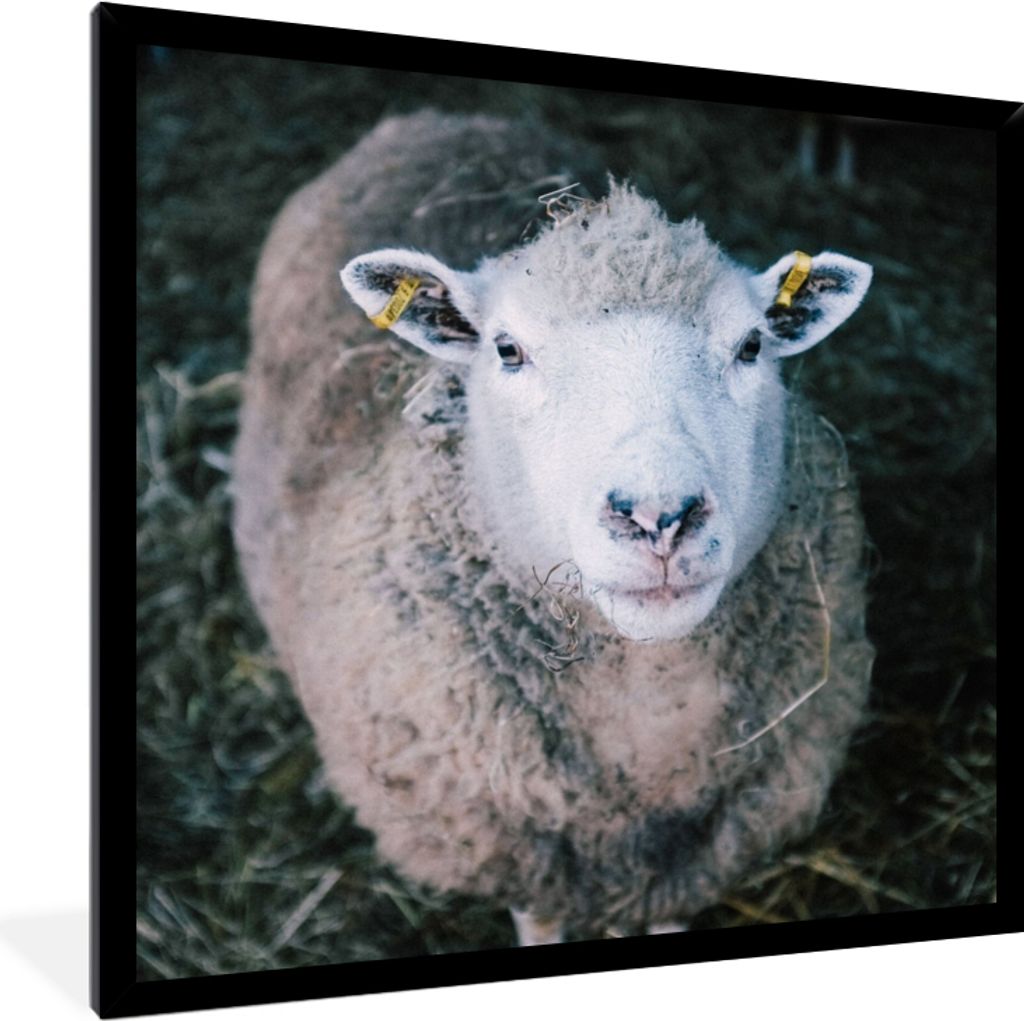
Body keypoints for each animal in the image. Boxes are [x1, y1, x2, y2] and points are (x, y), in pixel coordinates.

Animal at [232, 109, 875, 946]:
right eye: (508, 350)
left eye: (751, 345)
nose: (658, 517)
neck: (648, 719)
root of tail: (432, 121)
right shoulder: (516, 846)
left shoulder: (696, 859)